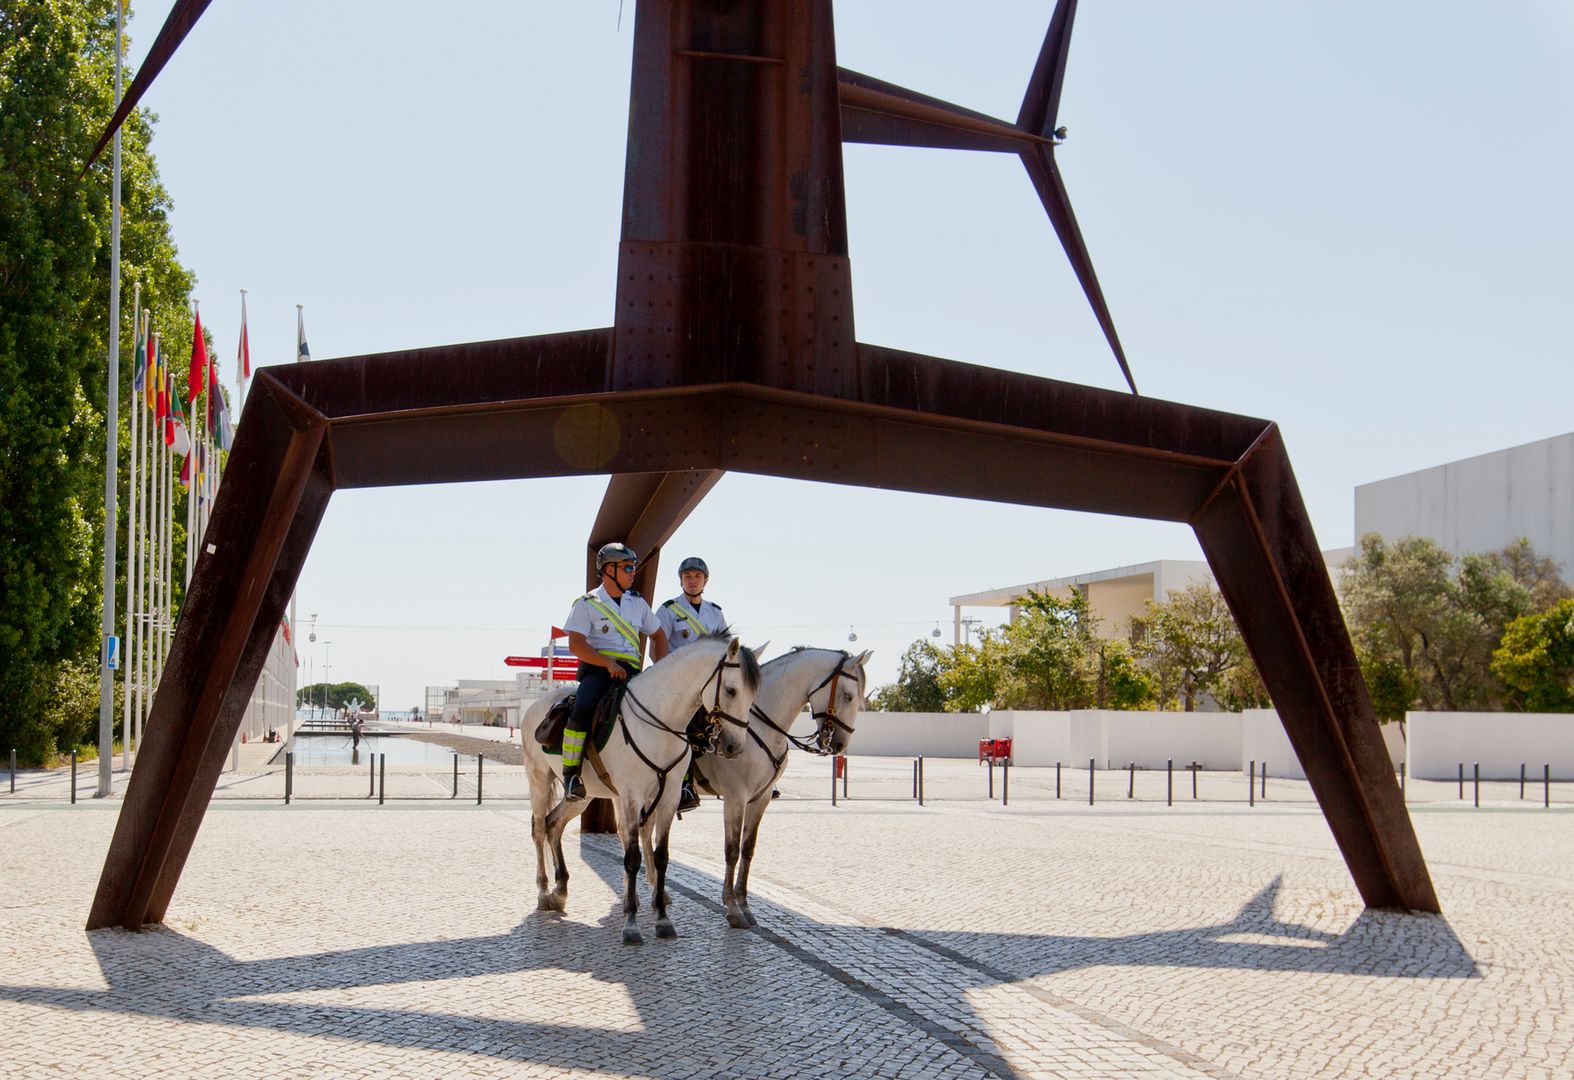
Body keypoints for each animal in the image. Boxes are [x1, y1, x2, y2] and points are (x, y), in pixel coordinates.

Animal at [519, 639, 758, 944]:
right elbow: (632, 857)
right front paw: (631, 923)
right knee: (539, 828)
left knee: (554, 825)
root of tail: (537, 704)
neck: (660, 725)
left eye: (752, 696)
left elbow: (661, 856)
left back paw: (560, 891)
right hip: (538, 779)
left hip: (583, 796)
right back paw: (543, 889)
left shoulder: (668, 798)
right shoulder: (632, 797)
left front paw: (662, 919)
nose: (734, 747)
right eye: (731, 690)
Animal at [689, 648, 868, 932]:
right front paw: (732, 907)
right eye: (849, 695)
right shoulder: (735, 797)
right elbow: (732, 850)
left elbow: (748, 850)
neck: (758, 727)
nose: (841, 744)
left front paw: (744, 904)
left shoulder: (760, 799)